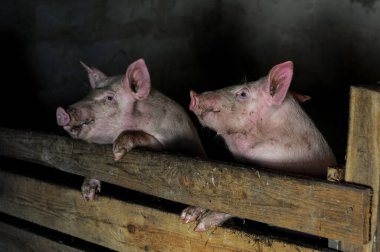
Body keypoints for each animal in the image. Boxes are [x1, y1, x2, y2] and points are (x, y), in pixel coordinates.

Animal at [55, 58, 208, 201]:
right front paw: (88, 195)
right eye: (89, 93)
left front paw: (117, 153)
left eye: (109, 98)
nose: (61, 111)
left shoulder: (171, 143)